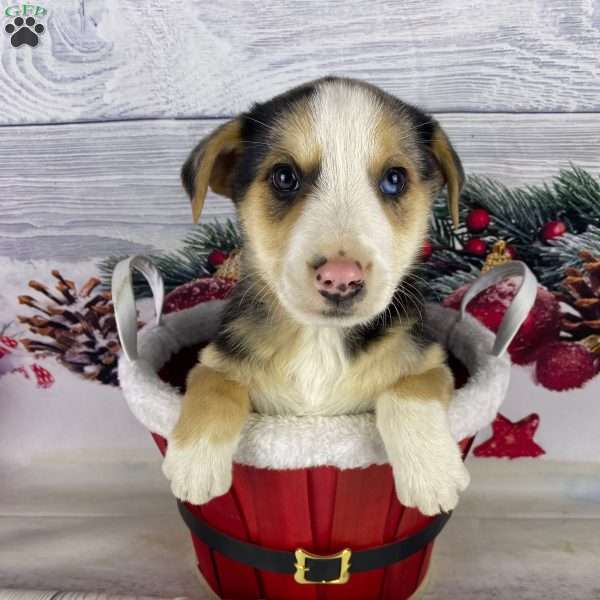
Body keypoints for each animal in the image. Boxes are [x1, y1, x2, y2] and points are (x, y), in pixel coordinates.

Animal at [162, 75, 472, 516]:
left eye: (394, 179)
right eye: (284, 177)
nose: (340, 279)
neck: (319, 340)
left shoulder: (428, 360)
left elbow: (406, 391)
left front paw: (432, 474)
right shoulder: (219, 357)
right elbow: (213, 384)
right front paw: (195, 462)